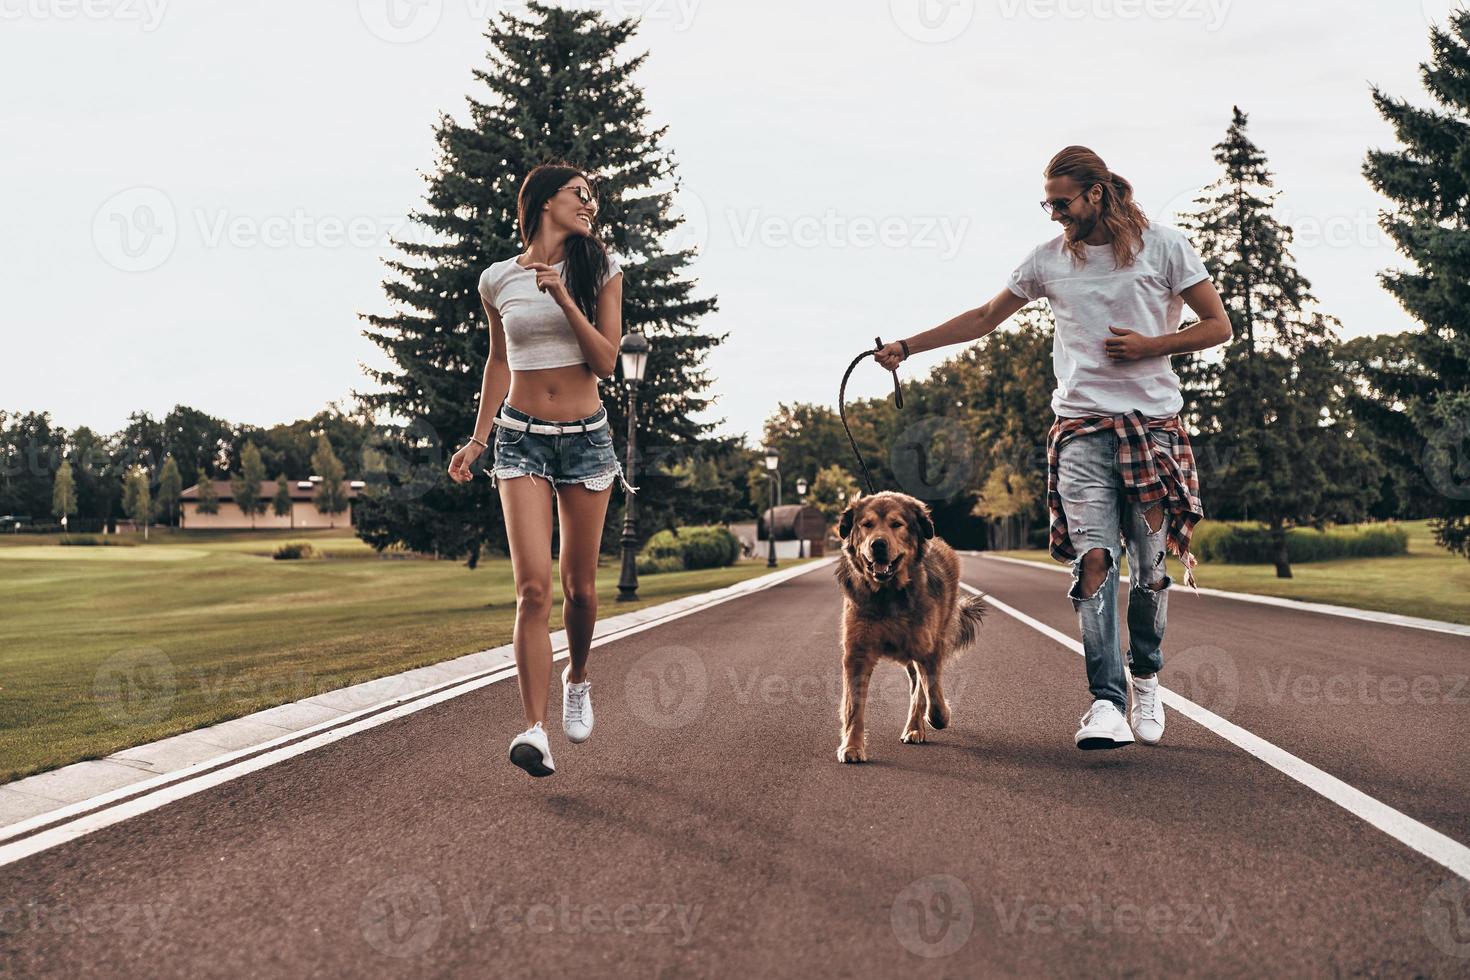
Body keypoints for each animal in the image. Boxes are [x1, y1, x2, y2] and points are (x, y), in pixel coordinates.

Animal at [840, 493, 987, 764]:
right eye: (867, 525)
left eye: (896, 524)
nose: (878, 544)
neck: (888, 594)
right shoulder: (856, 652)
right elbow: (854, 705)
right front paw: (852, 746)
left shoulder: (928, 648)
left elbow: (932, 695)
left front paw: (939, 717)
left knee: (921, 690)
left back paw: (915, 728)